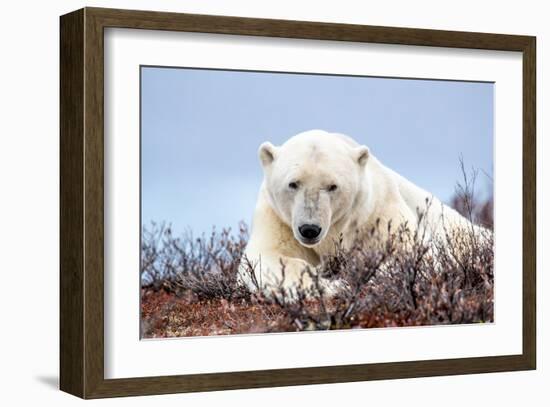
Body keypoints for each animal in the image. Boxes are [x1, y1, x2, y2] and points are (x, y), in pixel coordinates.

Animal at [239, 130, 480, 296]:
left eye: (333, 186)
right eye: (293, 183)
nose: (309, 229)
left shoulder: (377, 213)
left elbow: (413, 252)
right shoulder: (277, 219)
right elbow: (266, 257)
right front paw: (330, 285)